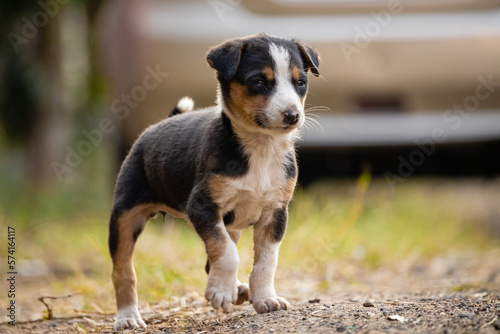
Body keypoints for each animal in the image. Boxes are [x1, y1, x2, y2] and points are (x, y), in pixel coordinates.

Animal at [108, 32, 320, 330]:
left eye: (300, 82)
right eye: (259, 81)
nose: (292, 115)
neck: (261, 149)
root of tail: (158, 125)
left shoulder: (275, 212)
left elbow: (266, 260)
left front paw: (265, 298)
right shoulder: (202, 206)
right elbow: (227, 252)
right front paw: (221, 292)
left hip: (231, 224)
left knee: (213, 261)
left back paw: (240, 290)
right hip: (125, 216)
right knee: (123, 270)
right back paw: (127, 317)